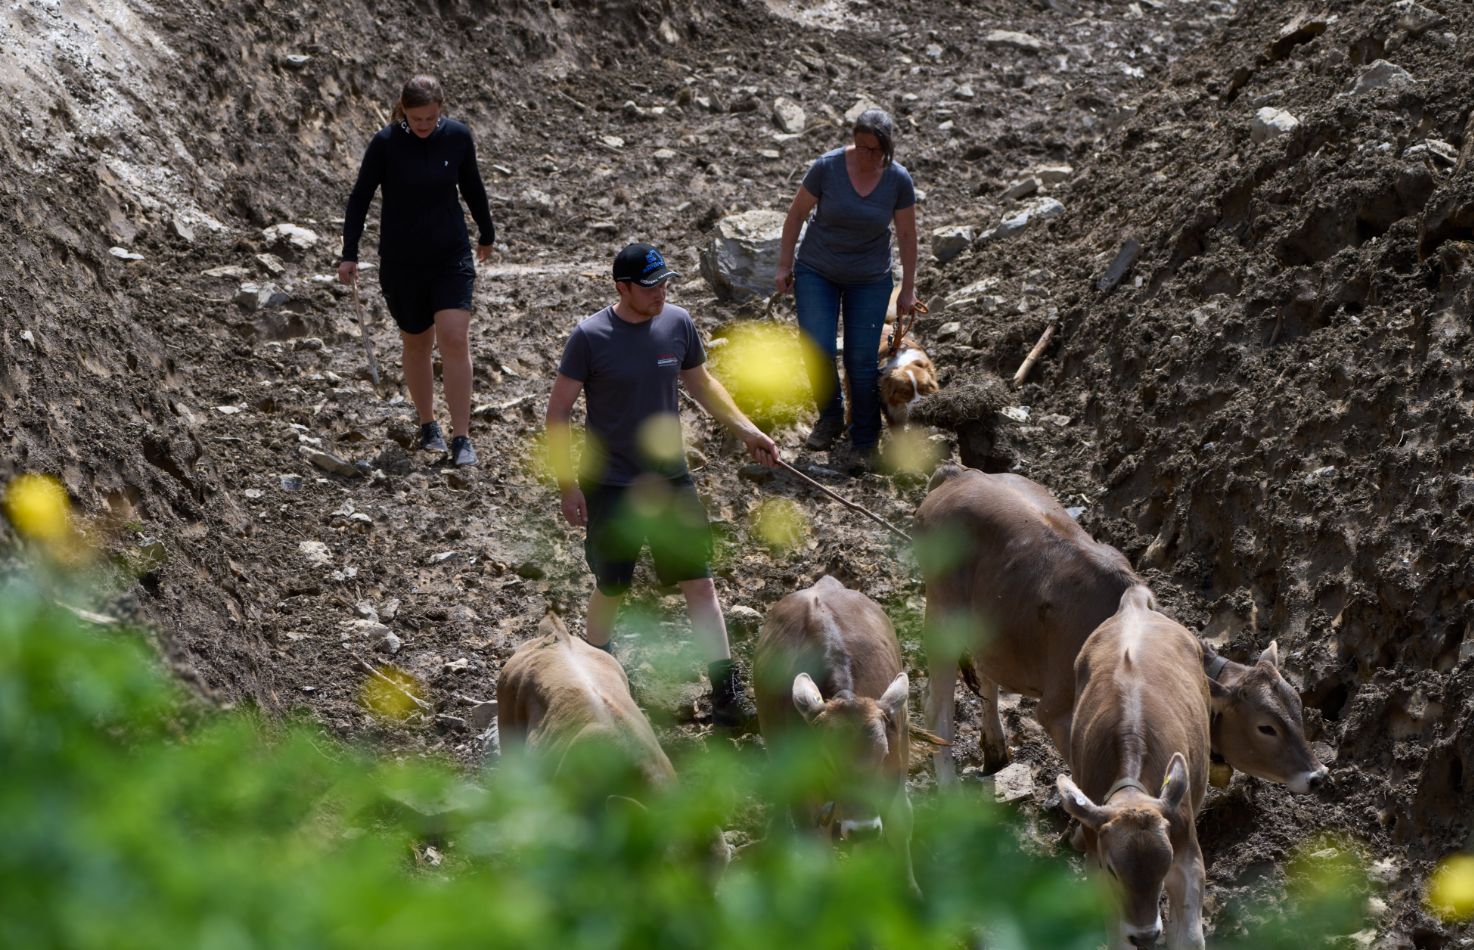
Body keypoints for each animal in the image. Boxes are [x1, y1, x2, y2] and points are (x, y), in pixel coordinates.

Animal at [916, 465, 1328, 794]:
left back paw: (995, 752)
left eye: (1298, 707)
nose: (1318, 776)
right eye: (1265, 727)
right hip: (940, 615)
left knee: (986, 675)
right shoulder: (1057, 713)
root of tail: (961, 475)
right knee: (937, 710)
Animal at [1057, 585, 1209, 949]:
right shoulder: (1098, 871)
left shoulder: (1188, 857)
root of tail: (1135, 604)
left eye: (1163, 866)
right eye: (1115, 870)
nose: (1146, 935)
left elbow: (1190, 938)